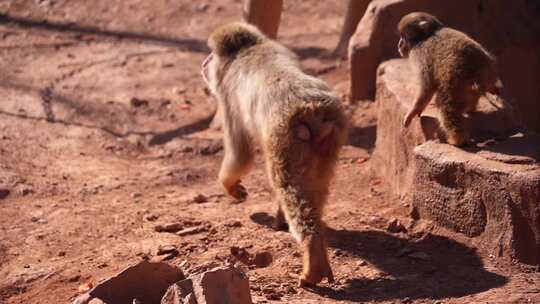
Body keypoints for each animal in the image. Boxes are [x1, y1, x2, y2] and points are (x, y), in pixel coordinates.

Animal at [200, 22, 348, 286]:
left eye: (212, 56)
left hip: (286, 137)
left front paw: (231, 186)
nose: (205, 61)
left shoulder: (227, 96)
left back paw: (311, 255)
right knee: (316, 185)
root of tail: (316, 112)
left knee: (288, 184)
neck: (249, 48)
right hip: (330, 141)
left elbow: (241, 152)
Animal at [396, 11, 502, 145]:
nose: (399, 45)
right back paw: (475, 104)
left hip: (457, 83)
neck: (427, 35)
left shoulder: (420, 55)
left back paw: (457, 139)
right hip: (486, 73)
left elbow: (427, 86)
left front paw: (413, 111)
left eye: (403, 36)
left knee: (446, 106)